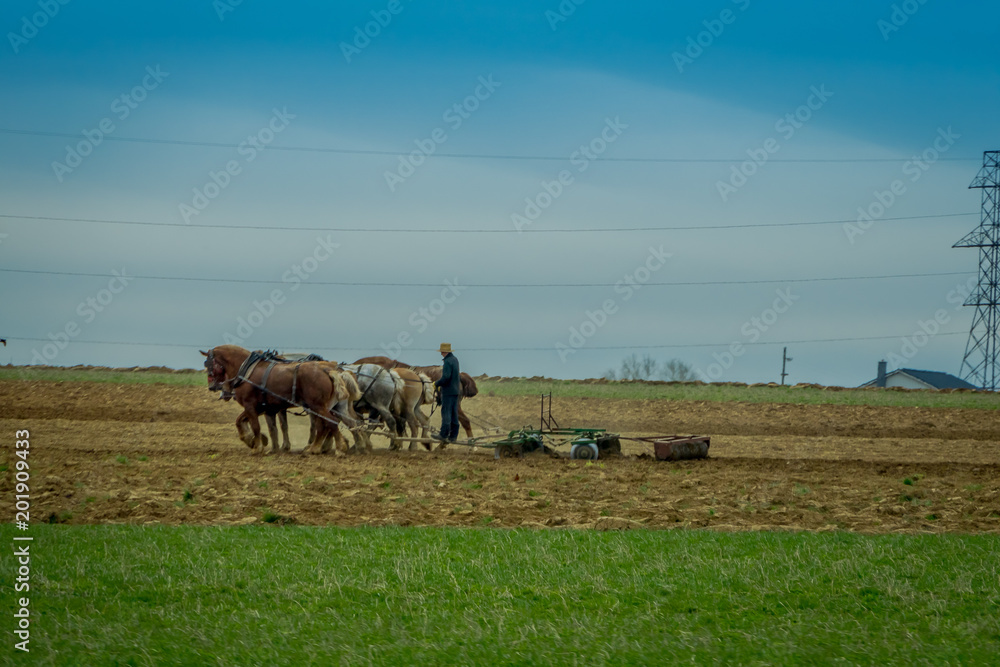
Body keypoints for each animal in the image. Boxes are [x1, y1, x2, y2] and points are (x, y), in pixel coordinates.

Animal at [202, 345, 352, 455]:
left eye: (207, 364)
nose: (212, 387)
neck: (246, 370)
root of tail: (327, 369)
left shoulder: (250, 405)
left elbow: (256, 426)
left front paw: (257, 447)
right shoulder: (263, 408)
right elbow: (249, 423)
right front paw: (255, 441)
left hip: (317, 406)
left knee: (330, 422)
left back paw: (337, 448)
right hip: (322, 406)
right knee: (325, 424)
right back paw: (317, 447)